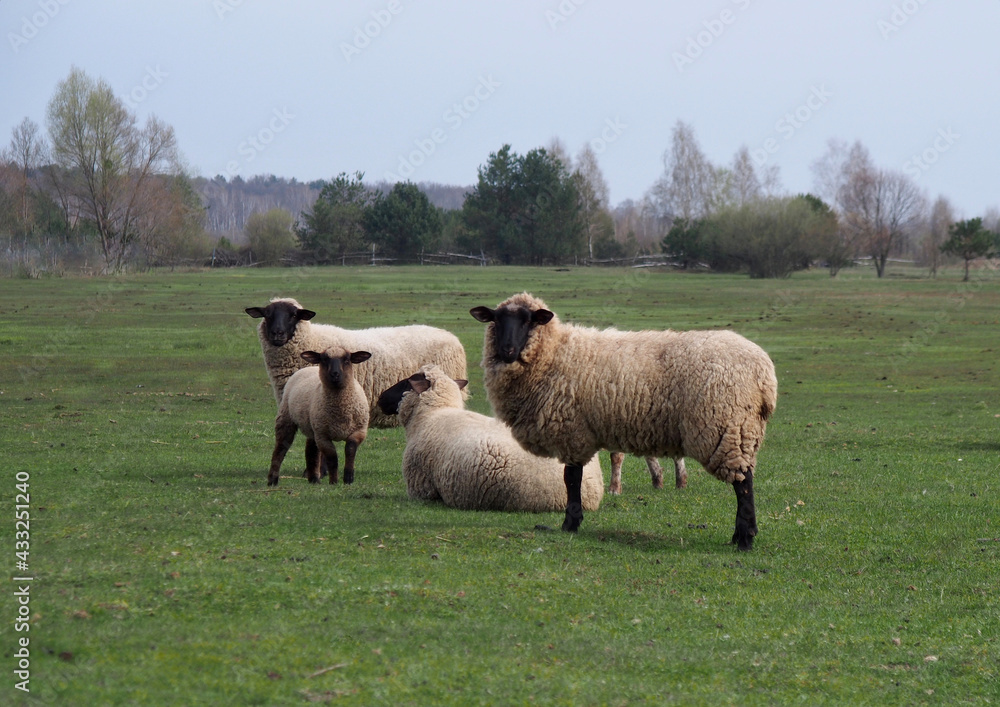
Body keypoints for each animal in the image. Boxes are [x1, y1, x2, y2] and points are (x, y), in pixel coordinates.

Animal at [266, 348, 372, 486]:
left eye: (347, 359)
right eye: (324, 359)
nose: (335, 374)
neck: (341, 411)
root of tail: (310, 367)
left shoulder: (359, 431)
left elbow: (350, 449)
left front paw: (348, 478)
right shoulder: (323, 436)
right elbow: (332, 458)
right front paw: (334, 481)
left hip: (312, 425)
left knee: (311, 450)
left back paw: (314, 479)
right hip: (286, 418)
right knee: (281, 448)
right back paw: (272, 480)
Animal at [466, 294, 772, 552]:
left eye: (529, 320)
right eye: (496, 320)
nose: (507, 350)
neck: (555, 353)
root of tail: (765, 371)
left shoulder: (572, 431)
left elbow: (571, 479)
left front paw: (570, 524)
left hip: (728, 426)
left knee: (744, 483)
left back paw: (744, 540)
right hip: (740, 428)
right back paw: (740, 536)